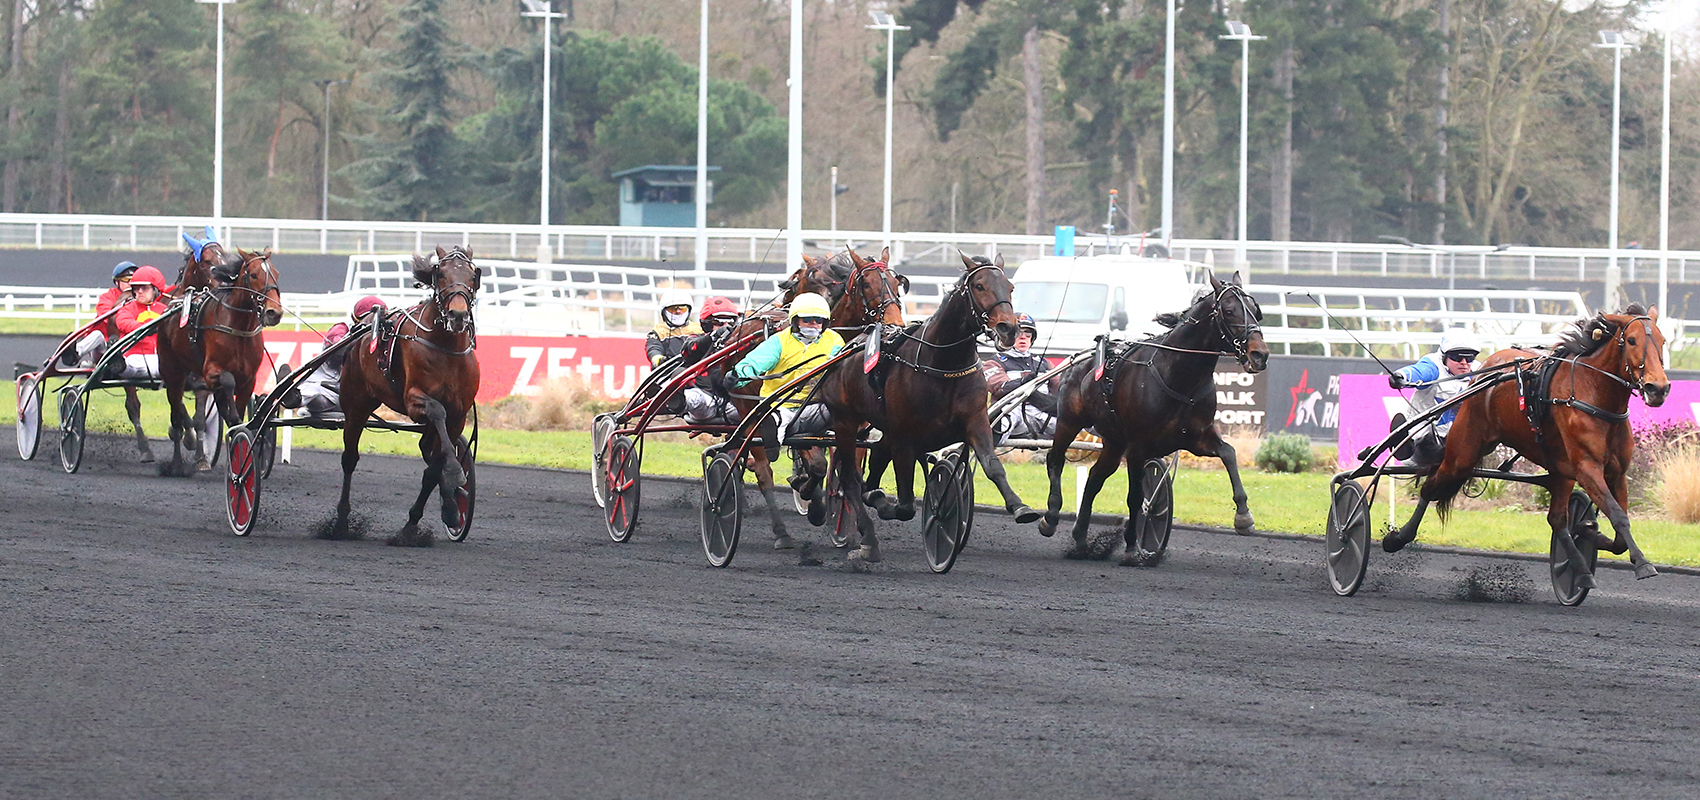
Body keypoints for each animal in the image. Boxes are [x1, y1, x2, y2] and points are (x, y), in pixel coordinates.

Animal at [156, 249, 285, 475]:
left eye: (275, 273)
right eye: (253, 275)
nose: (273, 312)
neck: (238, 328)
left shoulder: (248, 380)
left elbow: (237, 410)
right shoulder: (211, 371)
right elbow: (227, 381)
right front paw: (232, 417)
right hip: (173, 373)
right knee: (177, 416)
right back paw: (177, 463)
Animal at [328, 244, 482, 543]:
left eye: (472, 275)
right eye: (441, 274)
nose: (458, 315)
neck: (445, 347)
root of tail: (358, 336)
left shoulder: (459, 413)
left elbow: (435, 466)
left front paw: (444, 510)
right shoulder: (414, 400)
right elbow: (436, 410)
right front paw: (454, 474)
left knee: (427, 448)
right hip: (356, 406)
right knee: (349, 458)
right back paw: (340, 521)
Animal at [809, 251, 1033, 563]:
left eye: (1010, 288)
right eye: (979, 287)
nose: (1008, 328)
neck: (943, 364)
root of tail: (847, 346)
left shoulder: (975, 422)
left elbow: (993, 465)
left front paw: (1020, 507)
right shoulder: (905, 436)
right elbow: (905, 505)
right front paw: (889, 505)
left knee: (872, 464)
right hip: (845, 421)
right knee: (851, 482)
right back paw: (867, 536)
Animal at [1026, 271, 1271, 567]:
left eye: (1256, 310)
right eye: (1229, 310)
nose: (1259, 354)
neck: (1178, 376)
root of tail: (1079, 362)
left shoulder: (1197, 437)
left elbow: (1229, 454)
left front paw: (1243, 516)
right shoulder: (1138, 447)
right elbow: (1135, 497)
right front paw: (1132, 548)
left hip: (1114, 442)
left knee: (1095, 478)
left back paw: (1082, 540)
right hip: (1070, 422)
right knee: (1056, 459)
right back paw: (1051, 518)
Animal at [1380, 305, 1672, 580]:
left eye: (1663, 340)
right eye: (1631, 340)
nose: (1658, 388)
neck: (1593, 394)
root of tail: (1483, 372)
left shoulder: (1616, 472)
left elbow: (1618, 527)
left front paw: (1590, 533)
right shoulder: (1587, 468)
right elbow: (1618, 516)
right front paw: (1643, 564)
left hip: (1559, 469)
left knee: (1557, 519)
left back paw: (1581, 571)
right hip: (1463, 453)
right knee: (1430, 486)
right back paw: (1397, 537)